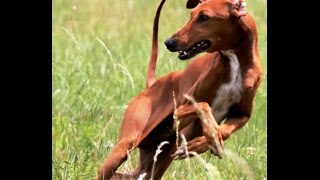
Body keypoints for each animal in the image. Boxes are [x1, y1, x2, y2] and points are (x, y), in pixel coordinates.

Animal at [96, 0, 262, 179]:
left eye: (204, 17)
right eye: (192, 15)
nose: (169, 42)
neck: (234, 62)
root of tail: (152, 85)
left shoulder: (242, 114)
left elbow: (224, 130)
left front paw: (204, 142)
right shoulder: (178, 113)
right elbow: (204, 105)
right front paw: (211, 135)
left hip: (155, 163)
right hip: (127, 144)